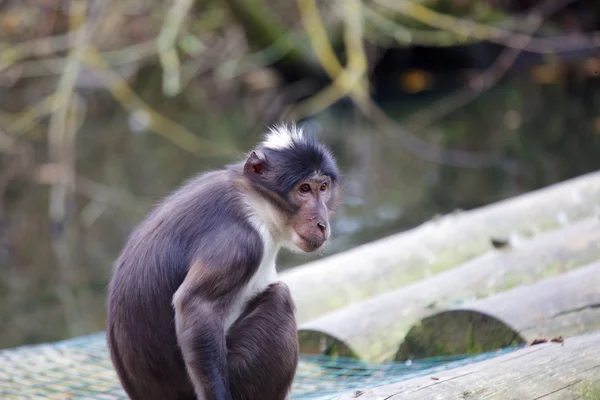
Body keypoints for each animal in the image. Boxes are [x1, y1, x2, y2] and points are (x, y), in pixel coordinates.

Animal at [106, 124, 342, 400]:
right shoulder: (241, 242)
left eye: (323, 187)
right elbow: (195, 305)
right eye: (304, 189)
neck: (254, 202)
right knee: (279, 298)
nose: (322, 224)